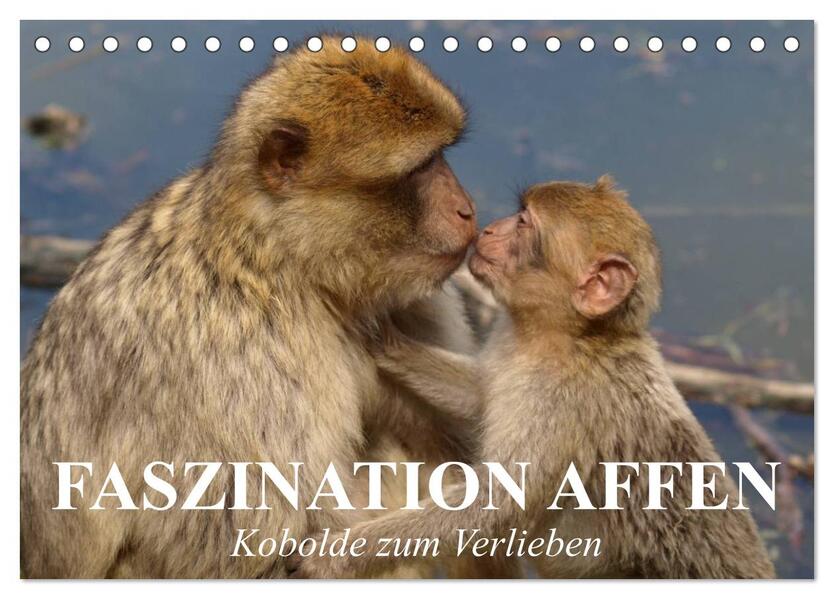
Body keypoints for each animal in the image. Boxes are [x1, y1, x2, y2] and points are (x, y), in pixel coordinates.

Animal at [20, 36, 497, 578]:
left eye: (442, 156)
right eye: (421, 167)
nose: (466, 209)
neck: (282, 262)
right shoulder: (243, 361)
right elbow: (247, 544)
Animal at [287, 176, 777, 579]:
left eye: (523, 223)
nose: (487, 229)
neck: (565, 338)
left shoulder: (559, 401)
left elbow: (494, 506)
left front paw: (337, 554)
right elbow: (479, 394)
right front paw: (382, 339)